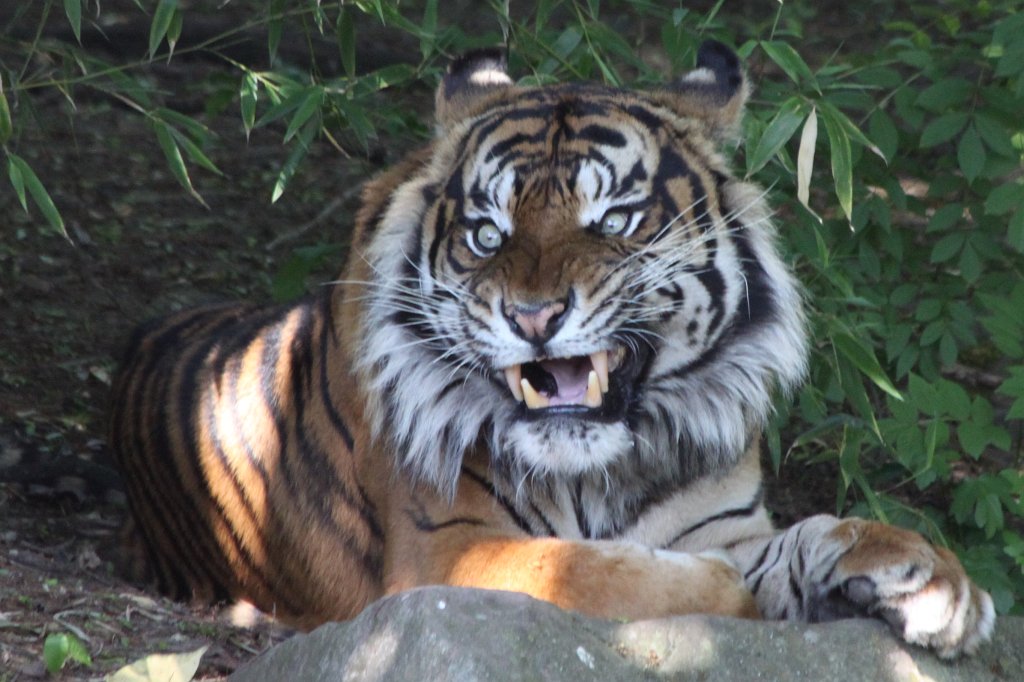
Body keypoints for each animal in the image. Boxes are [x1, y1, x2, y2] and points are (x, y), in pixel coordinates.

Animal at [108, 41, 994, 658]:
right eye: (486, 234)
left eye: (615, 221)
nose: (533, 317)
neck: (601, 470)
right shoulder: (445, 551)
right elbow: (599, 570)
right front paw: (731, 589)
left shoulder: (723, 518)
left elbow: (799, 537)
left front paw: (930, 579)